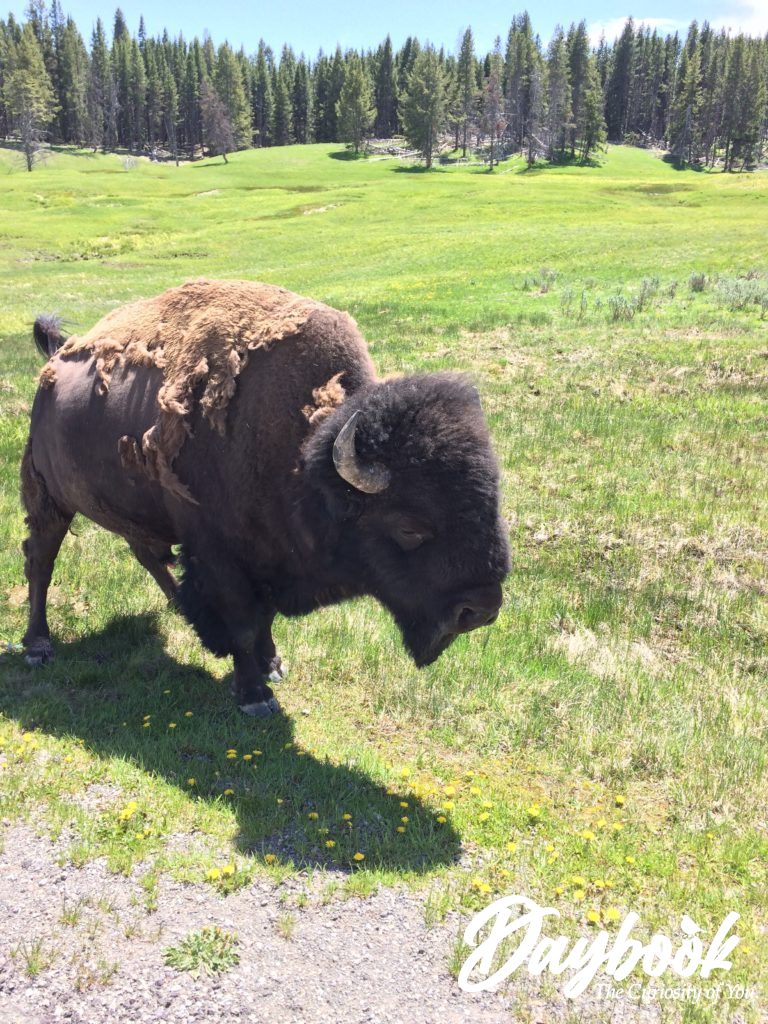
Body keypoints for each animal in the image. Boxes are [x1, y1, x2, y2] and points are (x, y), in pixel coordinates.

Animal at [21, 279, 510, 716]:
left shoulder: (269, 554)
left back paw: (179, 607)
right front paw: (255, 695)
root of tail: (58, 356)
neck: (305, 462)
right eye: (410, 527)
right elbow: (242, 623)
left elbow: (264, 618)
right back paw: (37, 646)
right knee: (41, 560)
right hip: (48, 498)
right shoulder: (221, 556)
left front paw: (272, 662)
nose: (480, 610)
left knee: (145, 553)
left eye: (493, 502)